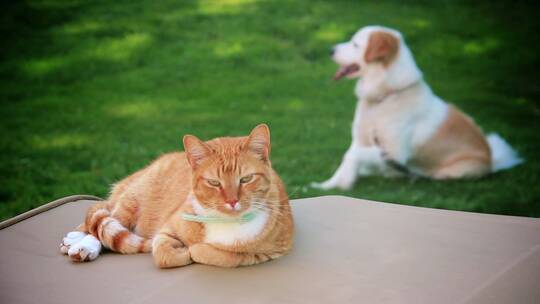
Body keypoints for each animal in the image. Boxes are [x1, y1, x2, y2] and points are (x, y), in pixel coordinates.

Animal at [59, 124, 294, 268]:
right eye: (214, 183)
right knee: (102, 222)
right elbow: (163, 254)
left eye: (245, 179)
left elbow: (226, 256)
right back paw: (80, 243)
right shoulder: (167, 228)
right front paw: (184, 251)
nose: (232, 201)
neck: (225, 222)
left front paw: (196, 250)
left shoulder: (270, 251)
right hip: (130, 202)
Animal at [312, 25, 524, 190]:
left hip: (456, 170)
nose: (330, 49)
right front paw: (327, 185)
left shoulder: (394, 152)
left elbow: (350, 155)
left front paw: (345, 182)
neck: (382, 99)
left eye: (356, 44)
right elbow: (346, 160)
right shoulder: (360, 140)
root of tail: (492, 160)